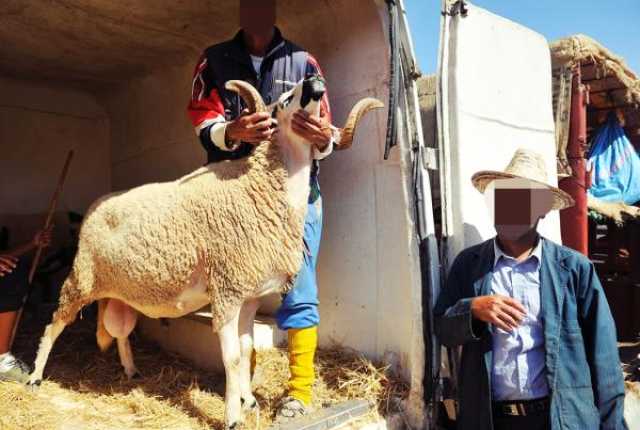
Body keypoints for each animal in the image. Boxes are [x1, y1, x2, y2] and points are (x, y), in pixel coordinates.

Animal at [27, 75, 382, 428]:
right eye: (284, 100)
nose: (314, 80)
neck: (259, 189)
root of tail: (94, 207)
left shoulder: (249, 297)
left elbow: (246, 348)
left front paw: (249, 401)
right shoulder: (226, 291)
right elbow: (232, 357)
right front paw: (233, 416)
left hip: (121, 293)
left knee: (120, 333)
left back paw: (131, 370)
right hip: (81, 279)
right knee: (54, 324)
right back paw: (35, 376)